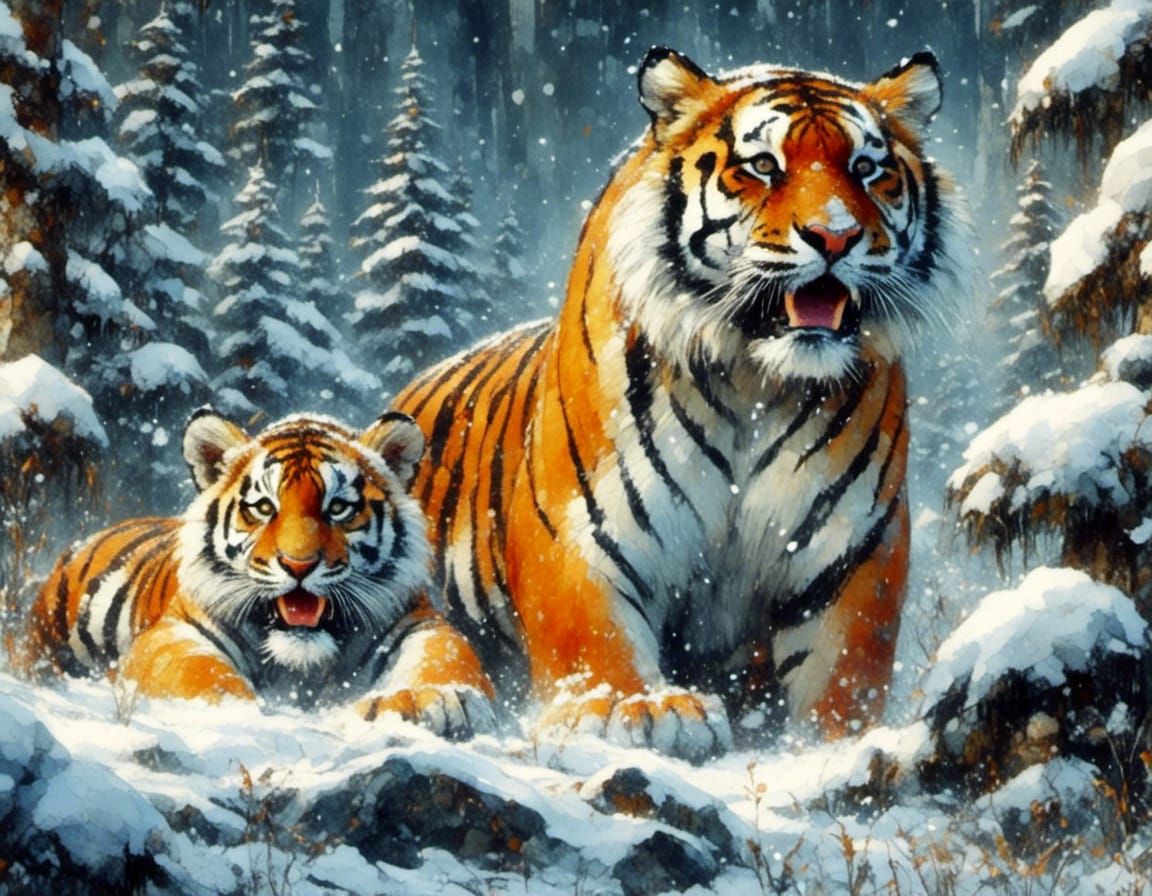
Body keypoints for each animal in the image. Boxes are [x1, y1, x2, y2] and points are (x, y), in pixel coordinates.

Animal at [18, 410, 497, 740]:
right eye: (265, 507)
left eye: (338, 508)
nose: (299, 565)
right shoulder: (176, 632)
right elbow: (197, 672)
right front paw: (234, 709)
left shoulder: (417, 623)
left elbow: (443, 659)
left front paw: (427, 702)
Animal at [393, 47, 969, 760]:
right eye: (763, 165)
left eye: (867, 169)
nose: (834, 238)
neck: (756, 380)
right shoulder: (582, 535)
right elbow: (598, 639)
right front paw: (637, 708)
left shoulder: (852, 550)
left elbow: (842, 673)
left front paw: (834, 743)